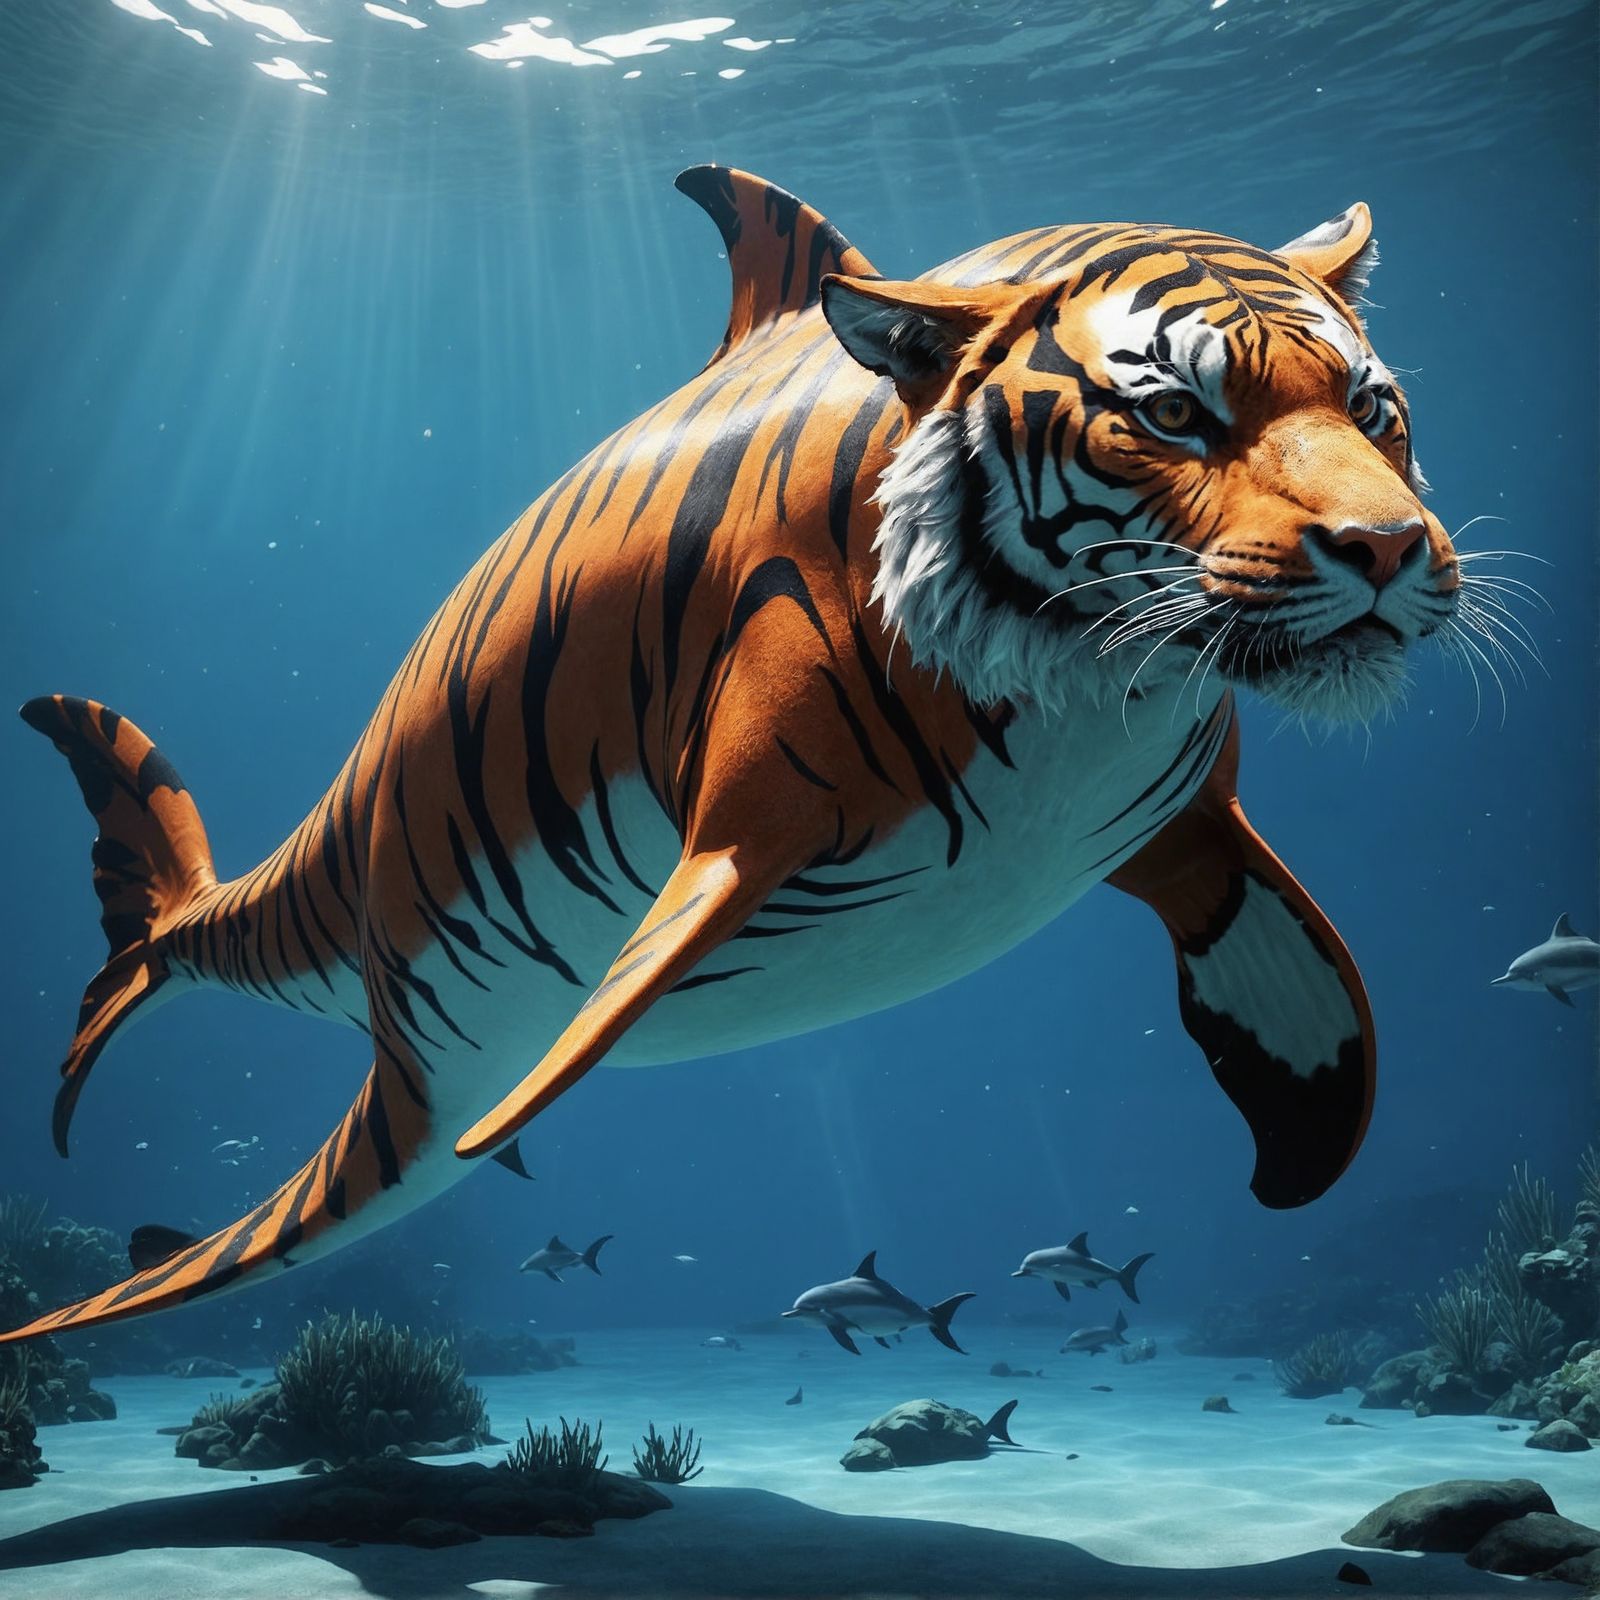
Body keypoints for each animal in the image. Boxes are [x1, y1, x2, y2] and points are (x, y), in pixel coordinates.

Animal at [2, 165, 1460, 1345]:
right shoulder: (731, 841)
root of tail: (173, 916)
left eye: (1376, 407)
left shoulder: (1186, 825)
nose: (1387, 549)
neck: (1085, 680)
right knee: (404, 1143)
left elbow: (1301, 988)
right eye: (1170, 416)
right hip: (413, 1097)